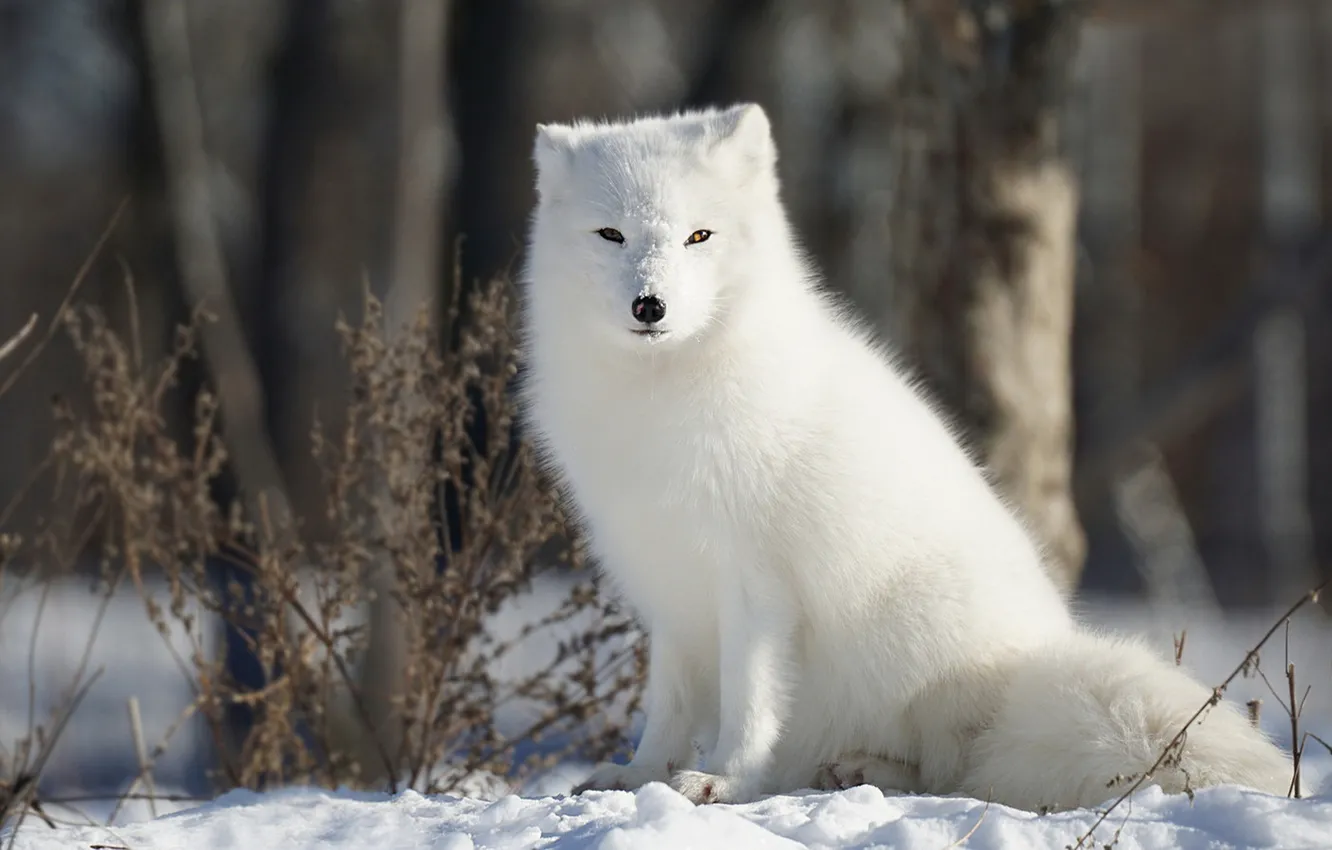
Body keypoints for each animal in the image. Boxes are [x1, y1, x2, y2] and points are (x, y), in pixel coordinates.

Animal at [516, 102, 1293, 811]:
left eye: (698, 235)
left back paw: (865, 771)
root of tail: (1027, 670)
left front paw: (724, 781)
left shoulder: (755, 583)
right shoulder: (669, 583)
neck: (662, 398)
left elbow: (750, 700)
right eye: (611, 234)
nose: (650, 305)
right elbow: (669, 705)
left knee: (952, 773)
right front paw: (641, 775)